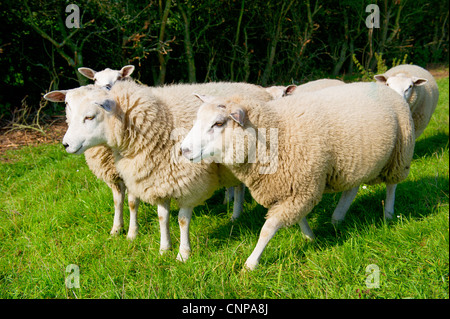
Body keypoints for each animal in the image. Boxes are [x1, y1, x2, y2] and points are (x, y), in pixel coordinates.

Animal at [44, 80, 272, 262]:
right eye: (67, 106)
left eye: (90, 117)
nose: (65, 144)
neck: (161, 123)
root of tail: (256, 87)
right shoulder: (153, 178)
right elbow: (158, 215)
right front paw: (162, 247)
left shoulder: (188, 183)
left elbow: (182, 220)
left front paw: (183, 254)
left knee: (239, 186)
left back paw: (235, 215)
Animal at [179, 82, 414, 270]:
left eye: (218, 123)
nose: (183, 150)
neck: (277, 131)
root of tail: (384, 86)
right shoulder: (296, 186)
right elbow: (298, 217)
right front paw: (310, 236)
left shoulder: (302, 185)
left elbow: (268, 229)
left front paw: (251, 263)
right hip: (353, 162)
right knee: (352, 189)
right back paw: (337, 218)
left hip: (400, 152)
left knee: (391, 185)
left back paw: (388, 213)